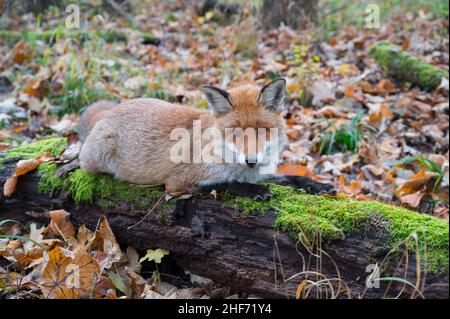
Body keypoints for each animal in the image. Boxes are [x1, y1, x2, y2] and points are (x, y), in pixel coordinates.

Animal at [77, 79, 332, 200]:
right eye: (235, 132)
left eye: (262, 131)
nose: (251, 160)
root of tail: (109, 112)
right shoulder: (177, 182)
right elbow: (228, 183)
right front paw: (253, 190)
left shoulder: (258, 172)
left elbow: (290, 178)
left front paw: (318, 185)